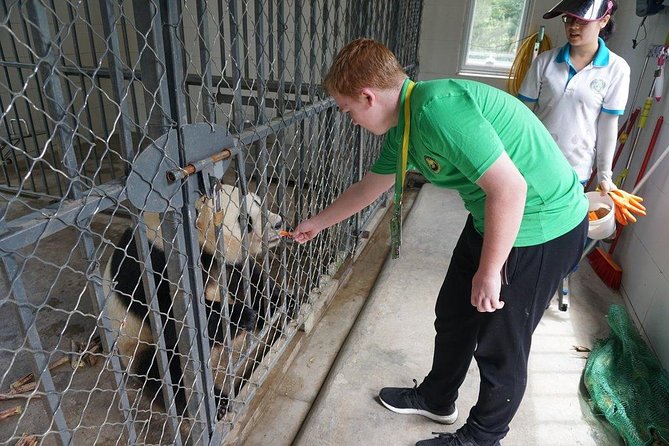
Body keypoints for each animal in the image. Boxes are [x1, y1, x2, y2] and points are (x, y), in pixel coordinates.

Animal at [102, 184, 290, 418]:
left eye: (257, 202)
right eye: (244, 219)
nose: (278, 223)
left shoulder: (221, 263)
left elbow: (247, 281)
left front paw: (284, 303)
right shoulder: (151, 269)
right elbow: (175, 323)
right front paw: (242, 315)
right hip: (137, 342)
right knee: (168, 371)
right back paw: (218, 404)